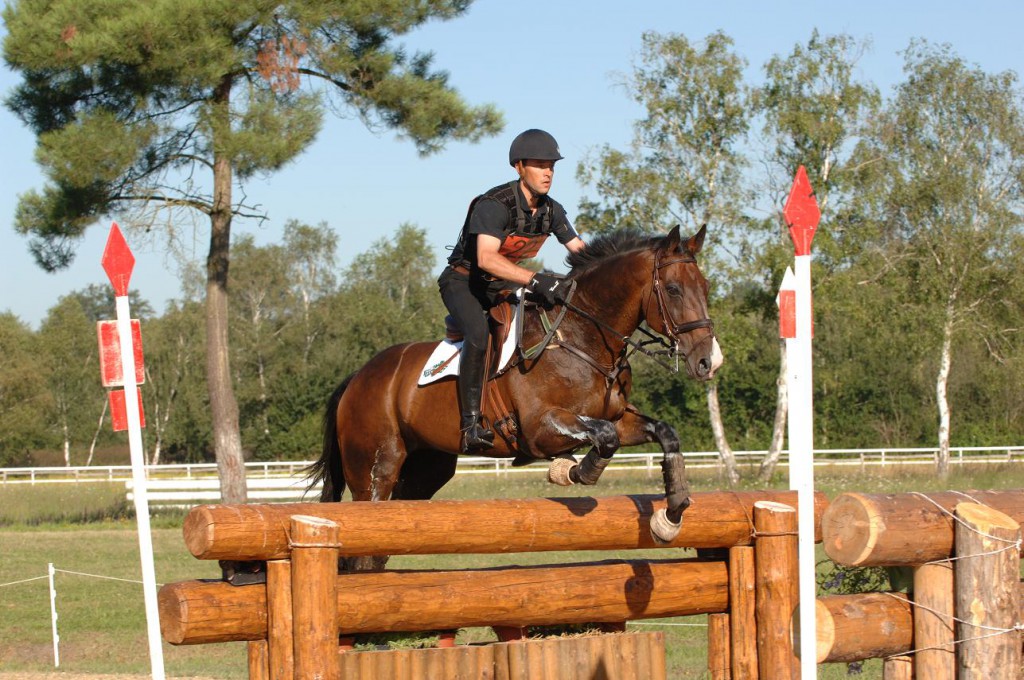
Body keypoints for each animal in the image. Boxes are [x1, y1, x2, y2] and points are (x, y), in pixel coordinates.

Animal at [307, 225, 724, 565]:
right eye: (673, 289)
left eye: (705, 288)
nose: (709, 361)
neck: (581, 337)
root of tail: (356, 378)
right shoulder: (540, 428)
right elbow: (602, 439)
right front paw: (571, 470)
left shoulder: (619, 418)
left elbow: (664, 433)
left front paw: (671, 514)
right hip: (375, 469)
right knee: (364, 540)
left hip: (426, 470)